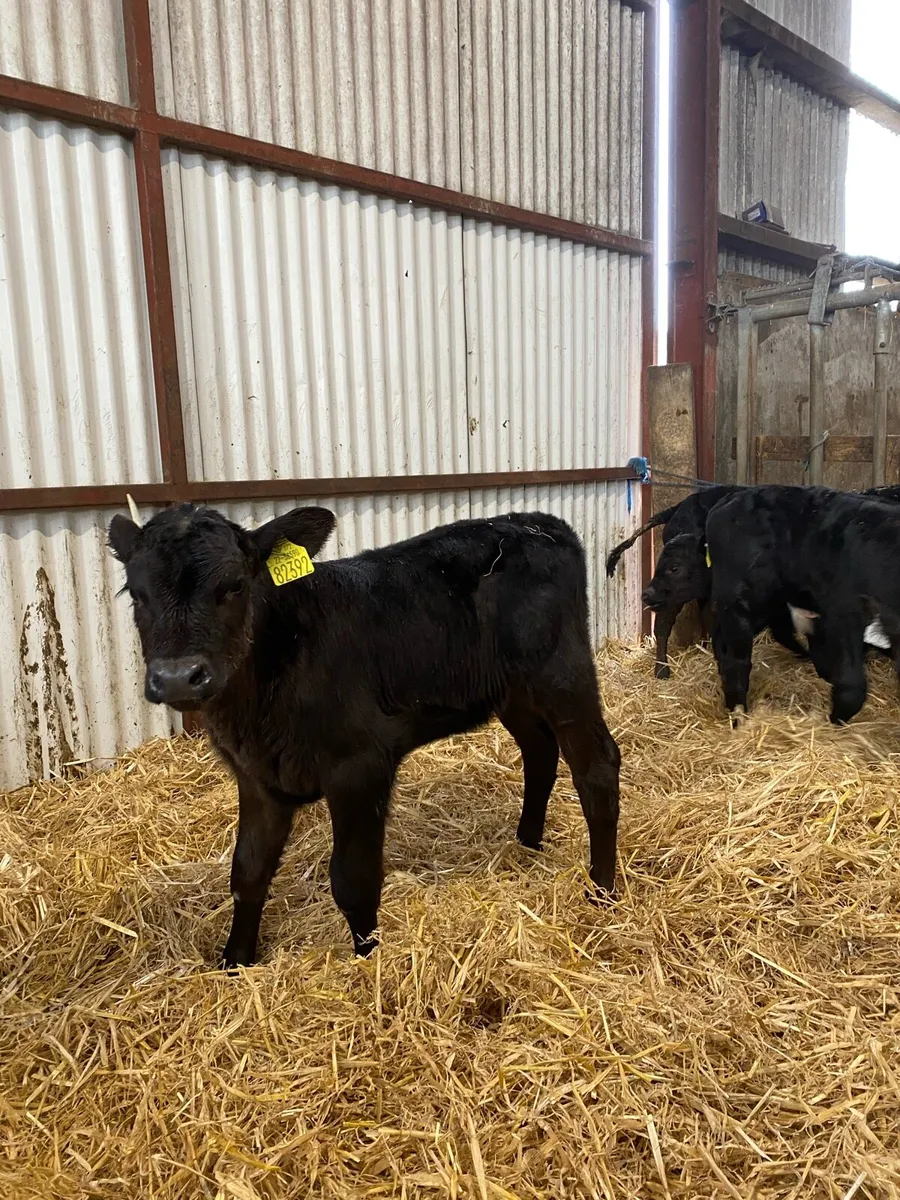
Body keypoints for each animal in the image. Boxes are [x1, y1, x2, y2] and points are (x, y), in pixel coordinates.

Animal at [109, 504, 621, 968]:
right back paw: (527, 843)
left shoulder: (360, 766)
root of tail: (537, 522)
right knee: (540, 752)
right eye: (136, 593)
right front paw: (234, 962)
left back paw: (602, 893)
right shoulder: (256, 777)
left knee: (597, 765)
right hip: (511, 690)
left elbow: (353, 881)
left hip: (562, 673)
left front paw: (367, 961)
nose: (178, 678)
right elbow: (248, 871)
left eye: (234, 585)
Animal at [704, 484, 900, 724]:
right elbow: (851, 684)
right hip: (740, 601)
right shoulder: (843, 615)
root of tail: (730, 499)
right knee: (736, 660)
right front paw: (833, 720)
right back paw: (739, 715)